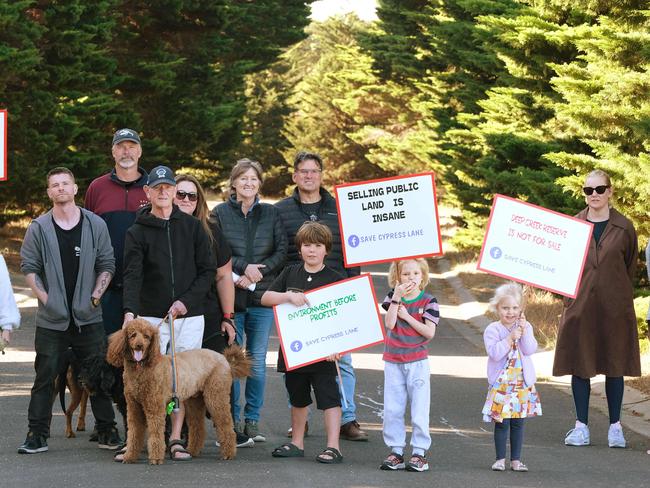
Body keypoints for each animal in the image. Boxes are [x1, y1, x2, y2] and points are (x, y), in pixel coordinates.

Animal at [105, 320, 249, 466]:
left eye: (147, 337)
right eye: (132, 335)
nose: (139, 346)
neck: (142, 368)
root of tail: (224, 359)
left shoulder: (155, 407)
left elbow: (155, 434)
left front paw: (156, 458)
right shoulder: (134, 407)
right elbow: (134, 433)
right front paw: (129, 456)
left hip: (216, 396)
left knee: (226, 425)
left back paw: (228, 453)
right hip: (194, 401)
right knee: (197, 427)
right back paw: (191, 451)